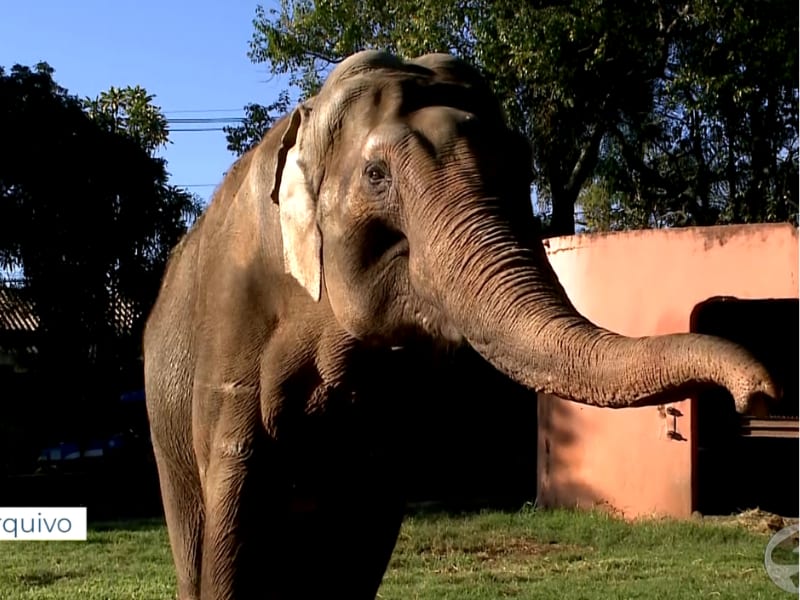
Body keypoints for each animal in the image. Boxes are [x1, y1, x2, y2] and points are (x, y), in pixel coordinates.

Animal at [143, 50, 778, 600]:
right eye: (376, 174)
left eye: (522, 166)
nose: (759, 397)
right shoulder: (233, 317)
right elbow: (236, 501)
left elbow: (369, 513)